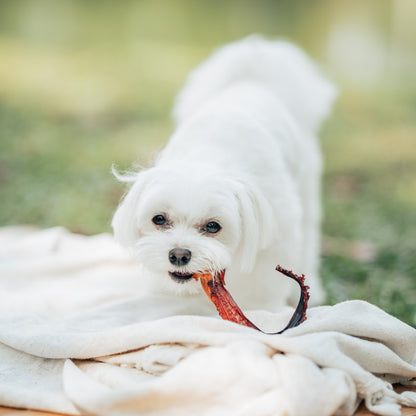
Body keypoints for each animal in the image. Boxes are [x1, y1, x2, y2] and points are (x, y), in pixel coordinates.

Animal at [112, 35, 336, 310]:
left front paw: (262, 309)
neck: (208, 154)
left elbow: (264, 282)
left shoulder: (276, 233)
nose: (178, 255)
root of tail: (252, 81)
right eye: (159, 219)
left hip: (306, 185)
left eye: (213, 226)